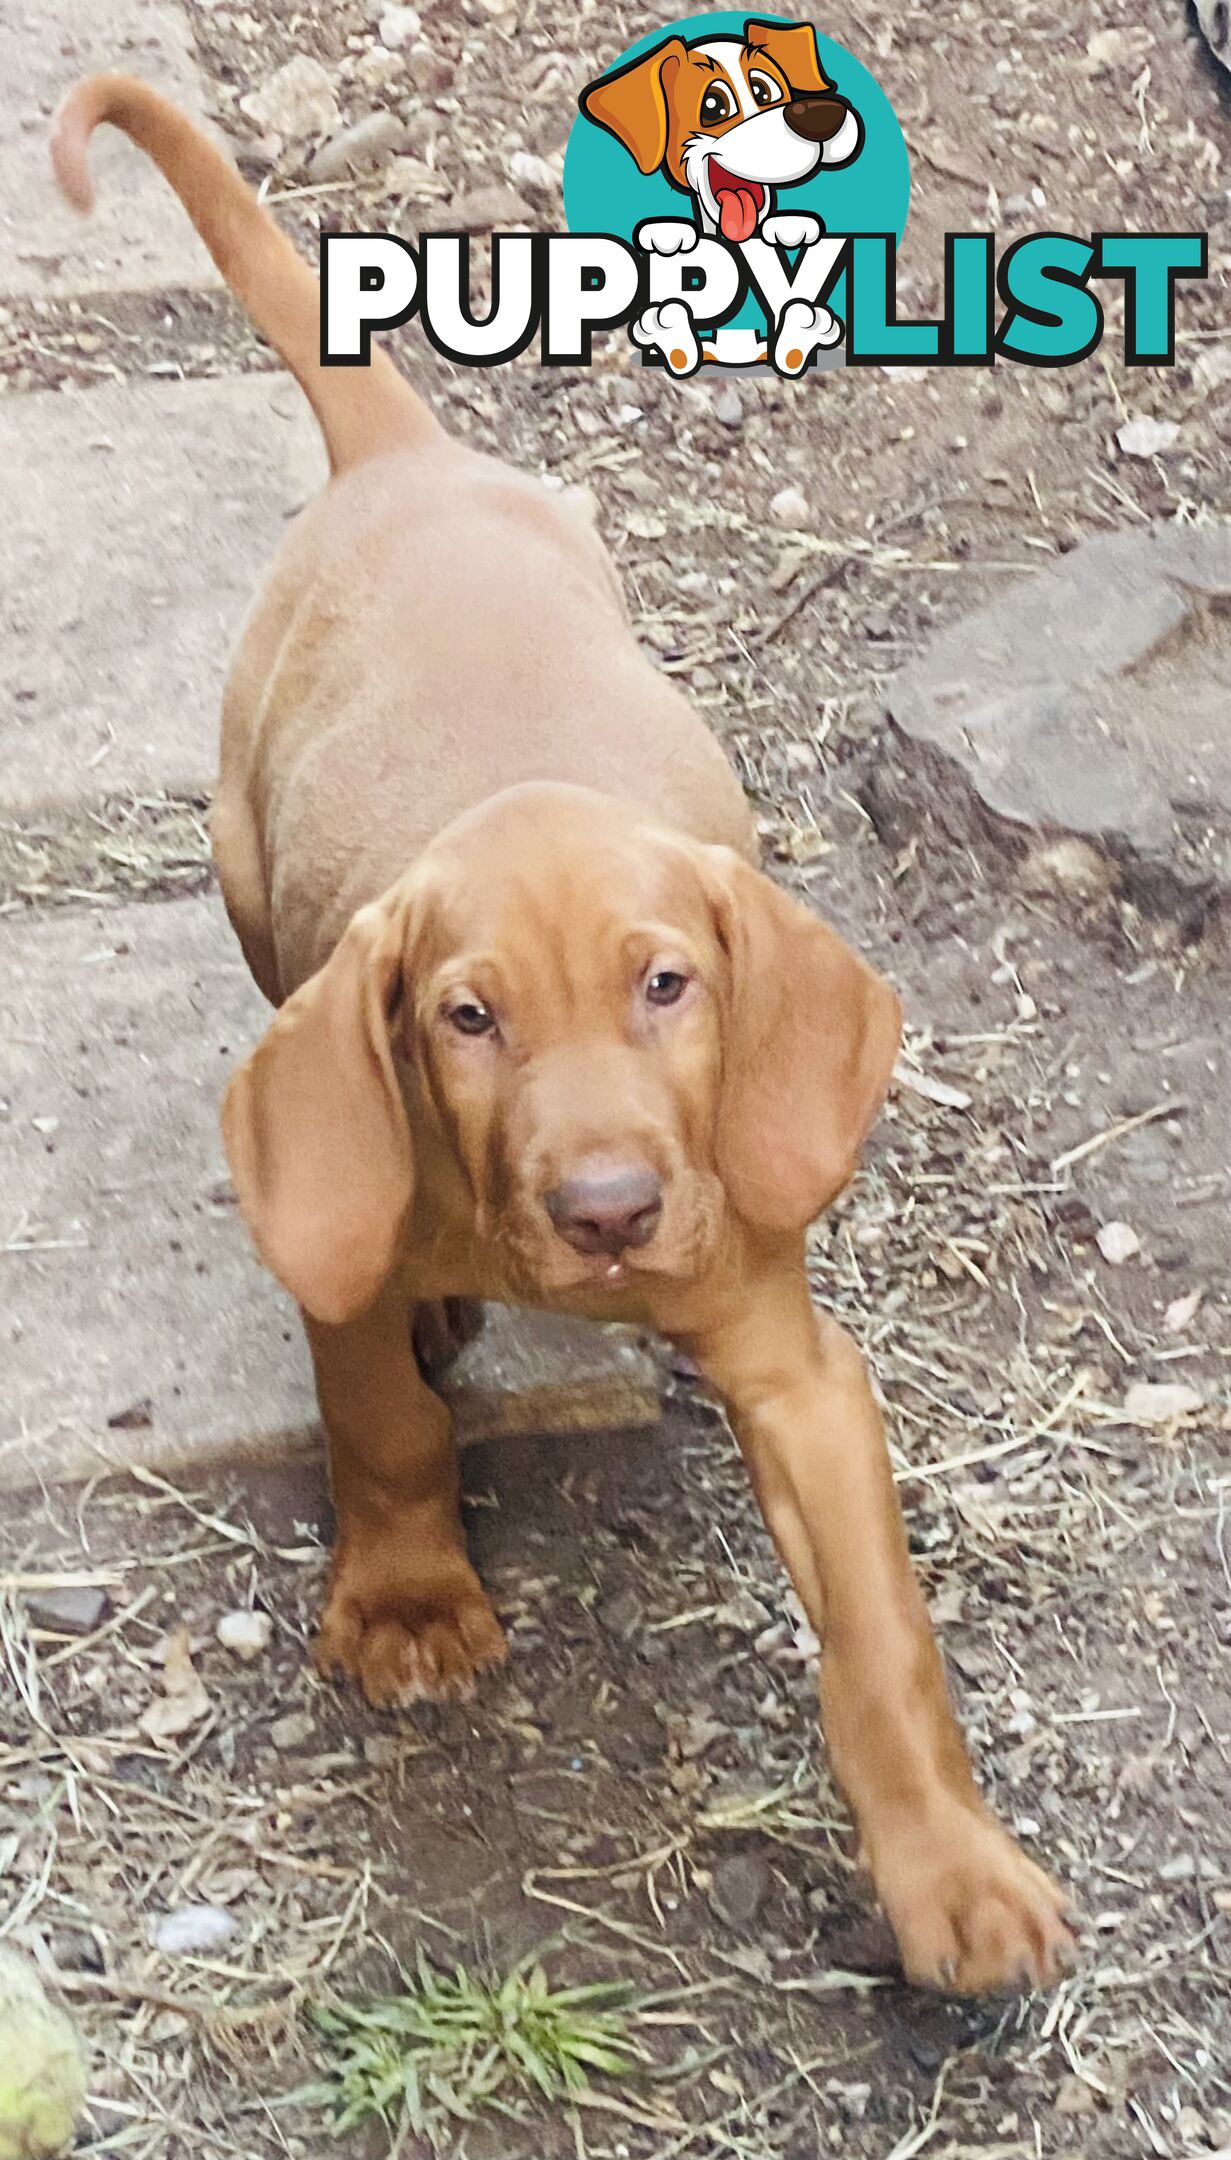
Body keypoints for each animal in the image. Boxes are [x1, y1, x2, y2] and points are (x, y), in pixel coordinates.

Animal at [52, 71, 1066, 1987]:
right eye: (466, 1020)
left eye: (668, 986)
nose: (605, 1214)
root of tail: (406, 459)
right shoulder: (343, 1237)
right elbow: (378, 1417)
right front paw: (409, 1600)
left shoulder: (795, 1364)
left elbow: (879, 1640)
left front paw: (950, 1872)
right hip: (236, 863)